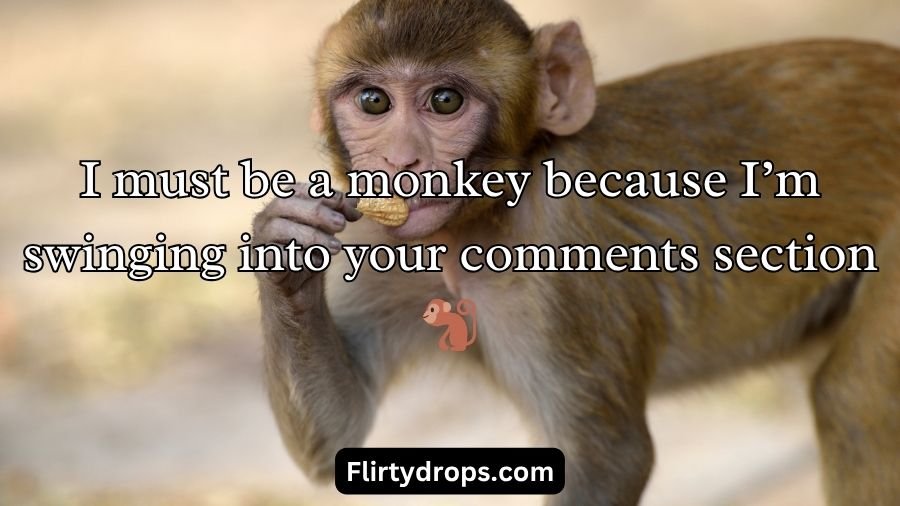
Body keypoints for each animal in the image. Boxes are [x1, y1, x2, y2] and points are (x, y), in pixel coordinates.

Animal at [250, 0, 900, 504]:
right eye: (373, 102)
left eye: (444, 101)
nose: (400, 160)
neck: (480, 226)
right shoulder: (385, 244)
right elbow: (338, 437)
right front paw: (285, 252)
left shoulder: (562, 269)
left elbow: (612, 457)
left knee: (854, 400)